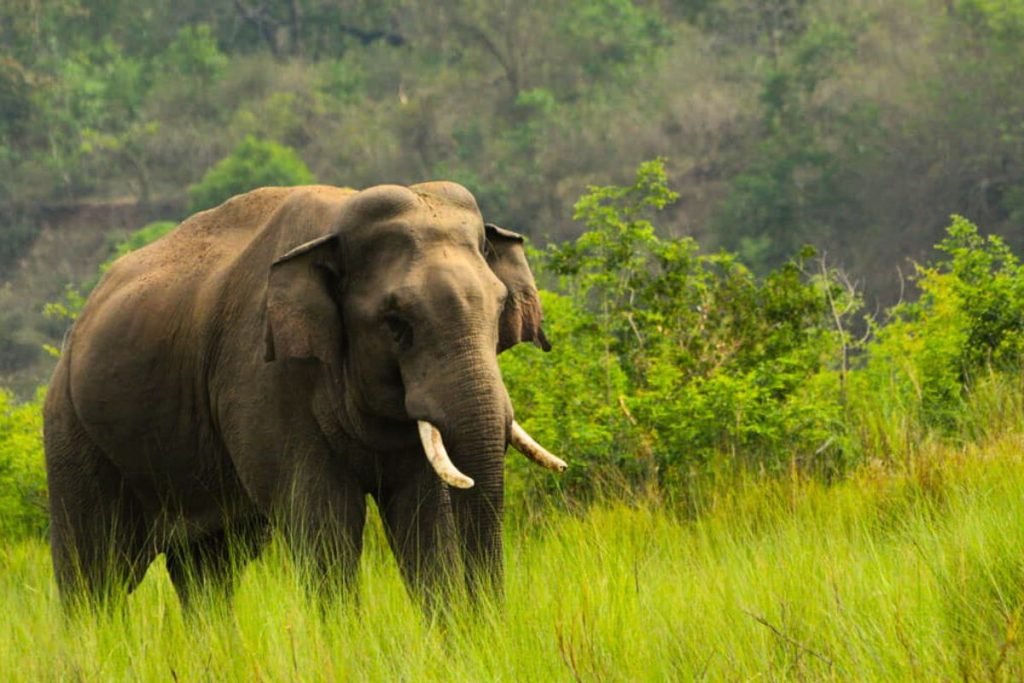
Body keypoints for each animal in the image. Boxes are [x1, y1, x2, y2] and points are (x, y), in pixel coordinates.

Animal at [43, 182, 566, 609]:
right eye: (396, 323)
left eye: (500, 307)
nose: (491, 619)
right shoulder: (263, 375)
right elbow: (324, 519)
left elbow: (424, 515)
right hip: (72, 435)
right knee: (95, 576)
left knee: (207, 570)